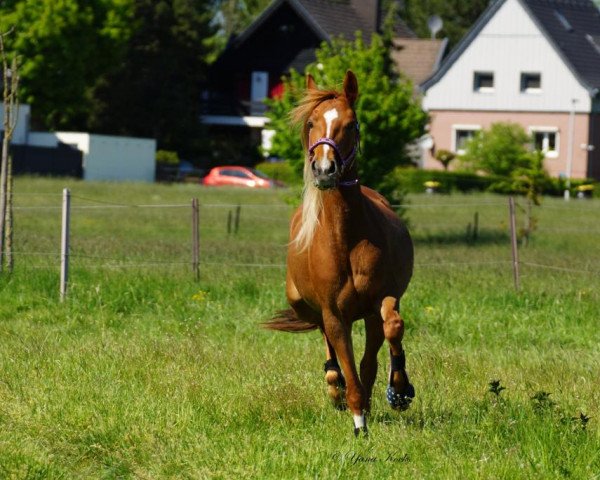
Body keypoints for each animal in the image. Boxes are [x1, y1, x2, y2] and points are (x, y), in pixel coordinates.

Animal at [264, 70, 414, 436]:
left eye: (351, 124)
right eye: (312, 122)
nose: (324, 169)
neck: (345, 240)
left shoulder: (380, 301)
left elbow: (390, 332)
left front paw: (399, 390)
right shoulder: (334, 314)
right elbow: (347, 361)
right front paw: (359, 420)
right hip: (301, 303)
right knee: (326, 341)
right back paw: (334, 385)